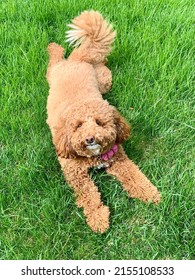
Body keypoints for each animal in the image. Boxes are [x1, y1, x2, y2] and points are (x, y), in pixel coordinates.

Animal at [45, 9, 160, 233]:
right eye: (78, 126)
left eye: (99, 122)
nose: (90, 139)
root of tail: (76, 60)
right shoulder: (75, 173)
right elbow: (89, 195)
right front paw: (98, 218)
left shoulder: (119, 160)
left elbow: (135, 176)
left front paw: (150, 193)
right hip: (54, 73)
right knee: (54, 60)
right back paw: (53, 47)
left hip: (104, 81)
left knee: (97, 61)